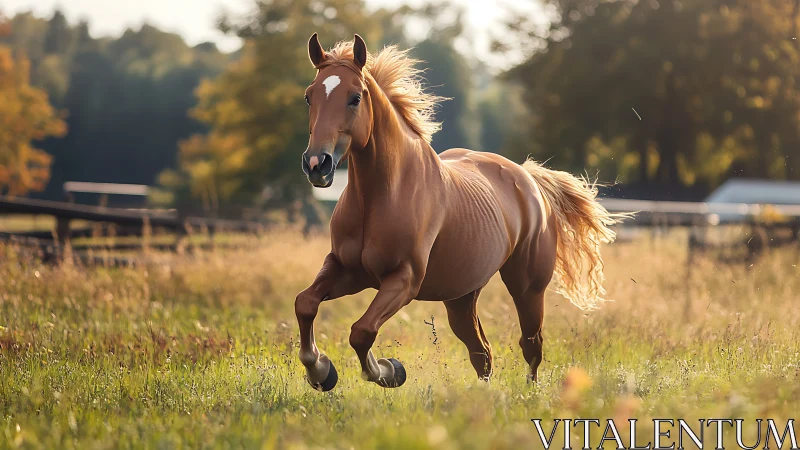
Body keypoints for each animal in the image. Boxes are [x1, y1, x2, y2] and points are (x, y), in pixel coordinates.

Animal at [295, 33, 625, 391]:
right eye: (310, 97)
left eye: (355, 98)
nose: (317, 164)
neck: (383, 196)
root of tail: (528, 180)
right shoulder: (345, 269)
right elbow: (306, 304)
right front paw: (321, 370)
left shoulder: (404, 279)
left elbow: (362, 331)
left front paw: (389, 370)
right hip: (461, 298)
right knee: (482, 353)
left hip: (527, 288)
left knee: (530, 345)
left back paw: (529, 393)